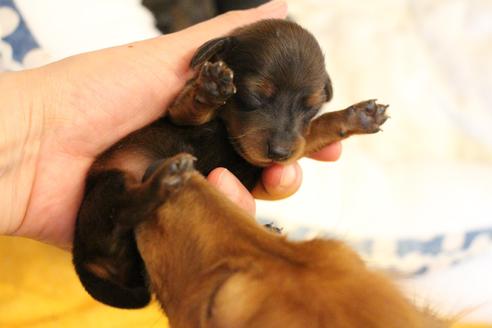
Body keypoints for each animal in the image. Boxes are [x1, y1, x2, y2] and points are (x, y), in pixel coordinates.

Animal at [72, 18, 388, 310]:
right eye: (254, 94)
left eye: (311, 106)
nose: (279, 152)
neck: (229, 135)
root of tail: (81, 259)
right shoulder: (176, 115)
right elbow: (188, 107)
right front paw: (211, 89)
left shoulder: (285, 146)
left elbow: (313, 131)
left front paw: (357, 117)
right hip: (107, 188)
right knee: (120, 211)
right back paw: (166, 179)